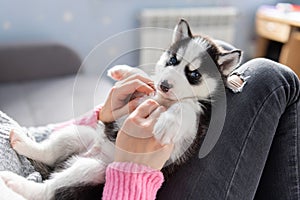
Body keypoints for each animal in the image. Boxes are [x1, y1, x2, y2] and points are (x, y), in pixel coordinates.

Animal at [0, 19, 241, 200]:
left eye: (194, 75)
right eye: (173, 60)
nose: (164, 85)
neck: (163, 100)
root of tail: (91, 153)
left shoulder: (198, 127)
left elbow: (187, 108)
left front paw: (168, 122)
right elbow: (143, 79)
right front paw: (125, 71)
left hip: (93, 171)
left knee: (49, 191)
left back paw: (17, 183)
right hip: (81, 135)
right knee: (51, 151)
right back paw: (25, 144)